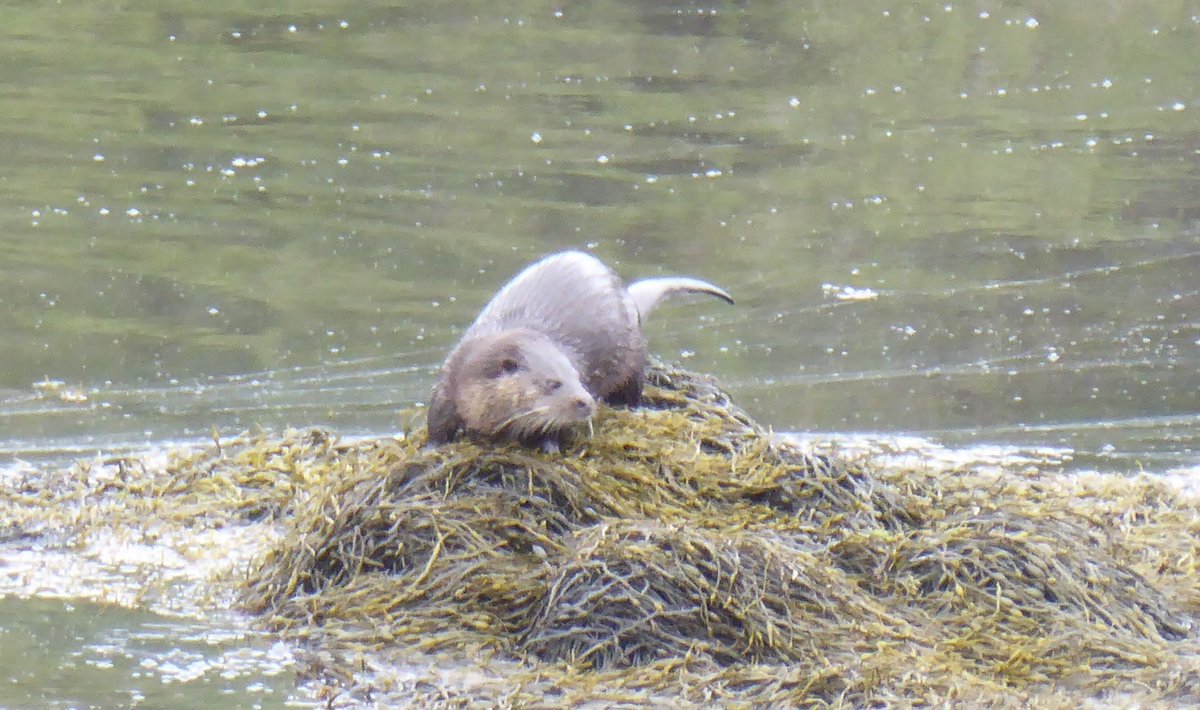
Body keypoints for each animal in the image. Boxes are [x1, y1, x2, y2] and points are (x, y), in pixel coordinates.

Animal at [427, 250, 733, 450]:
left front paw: (549, 446)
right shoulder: (451, 375)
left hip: (633, 353)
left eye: (578, 379)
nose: (586, 402)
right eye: (553, 383)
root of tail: (627, 296)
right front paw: (433, 447)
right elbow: (437, 418)